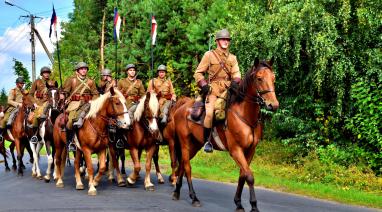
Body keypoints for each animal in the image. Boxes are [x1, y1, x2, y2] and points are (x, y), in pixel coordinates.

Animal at [170, 58, 278, 212]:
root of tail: (182, 107)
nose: (273, 105)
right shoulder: (236, 150)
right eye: (259, 78)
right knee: (187, 168)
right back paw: (194, 198)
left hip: (194, 145)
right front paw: (254, 206)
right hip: (184, 143)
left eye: (273, 78)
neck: (244, 116)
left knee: (182, 167)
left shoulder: (250, 151)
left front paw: (238, 203)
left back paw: (177, 192)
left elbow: (242, 175)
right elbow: (249, 176)